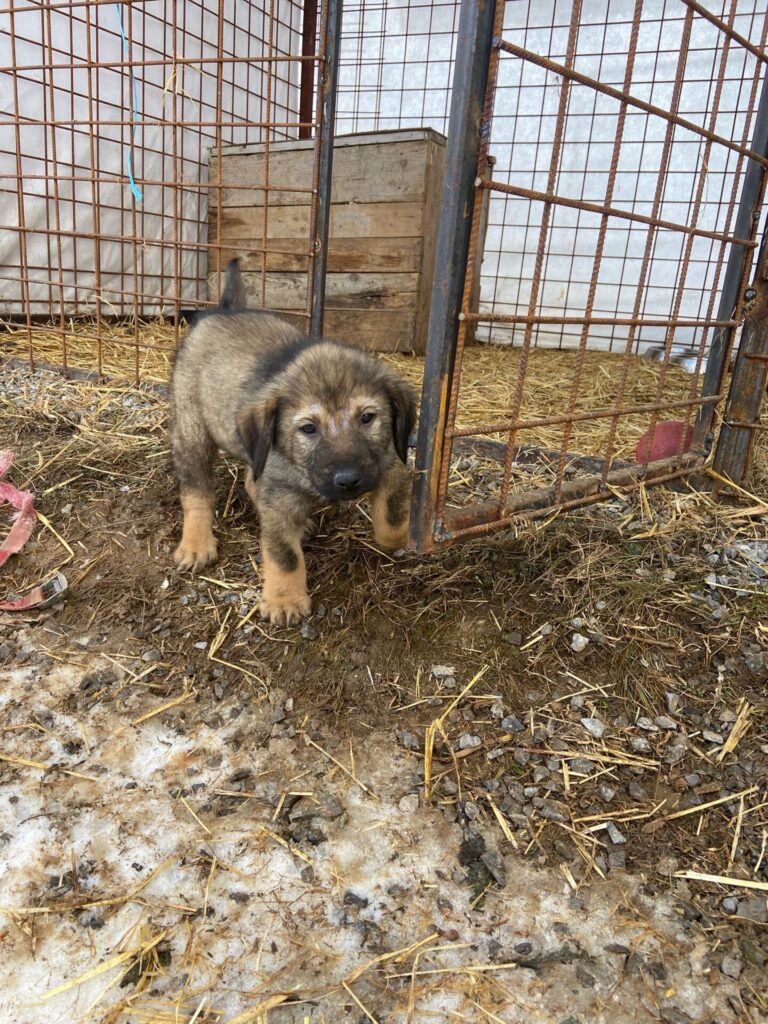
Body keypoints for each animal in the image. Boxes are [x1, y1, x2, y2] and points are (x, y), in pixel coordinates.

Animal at [170, 259, 417, 625]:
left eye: (367, 418)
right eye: (309, 428)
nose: (349, 481)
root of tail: (224, 310)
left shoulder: (389, 460)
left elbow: (392, 518)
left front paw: (403, 534)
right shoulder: (280, 499)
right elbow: (284, 555)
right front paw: (285, 601)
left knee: (251, 481)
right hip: (192, 429)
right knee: (196, 491)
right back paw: (197, 543)